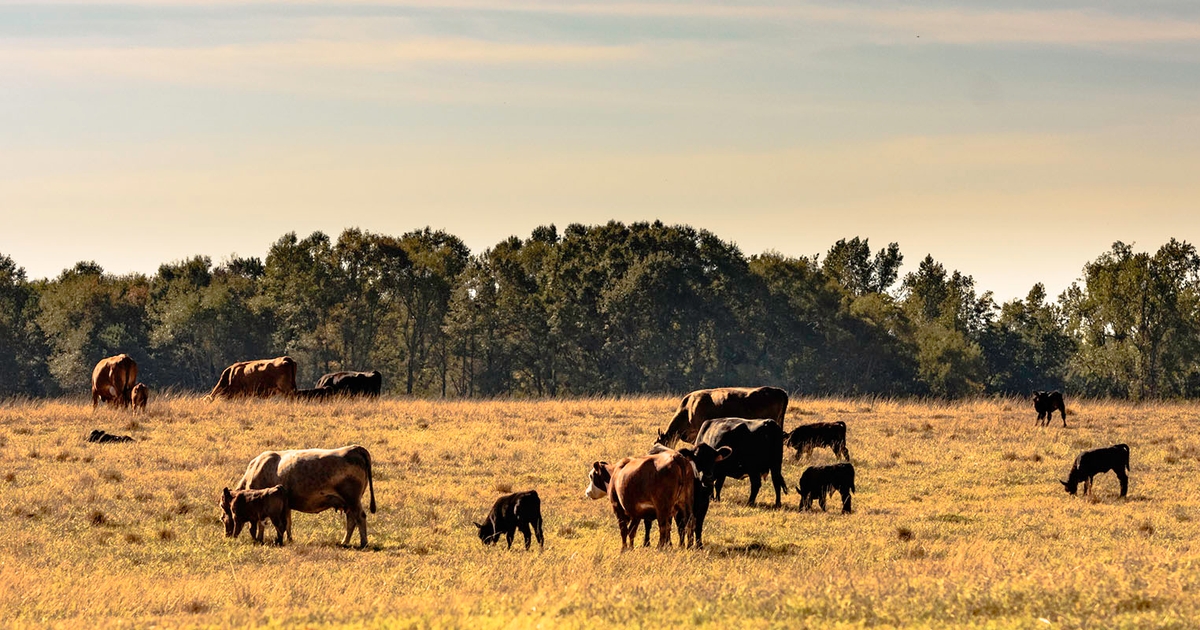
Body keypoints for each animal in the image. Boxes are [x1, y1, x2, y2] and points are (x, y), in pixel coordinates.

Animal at [225, 441, 374, 544]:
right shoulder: (286, 506)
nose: (227, 535)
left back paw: (363, 542)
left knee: (360, 517)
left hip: (352, 499)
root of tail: (355, 448)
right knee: (351, 520)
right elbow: (288, 523)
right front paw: (289, 539)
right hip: (348, 503)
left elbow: (263, 523)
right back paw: (345, 542)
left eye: (224, 512)